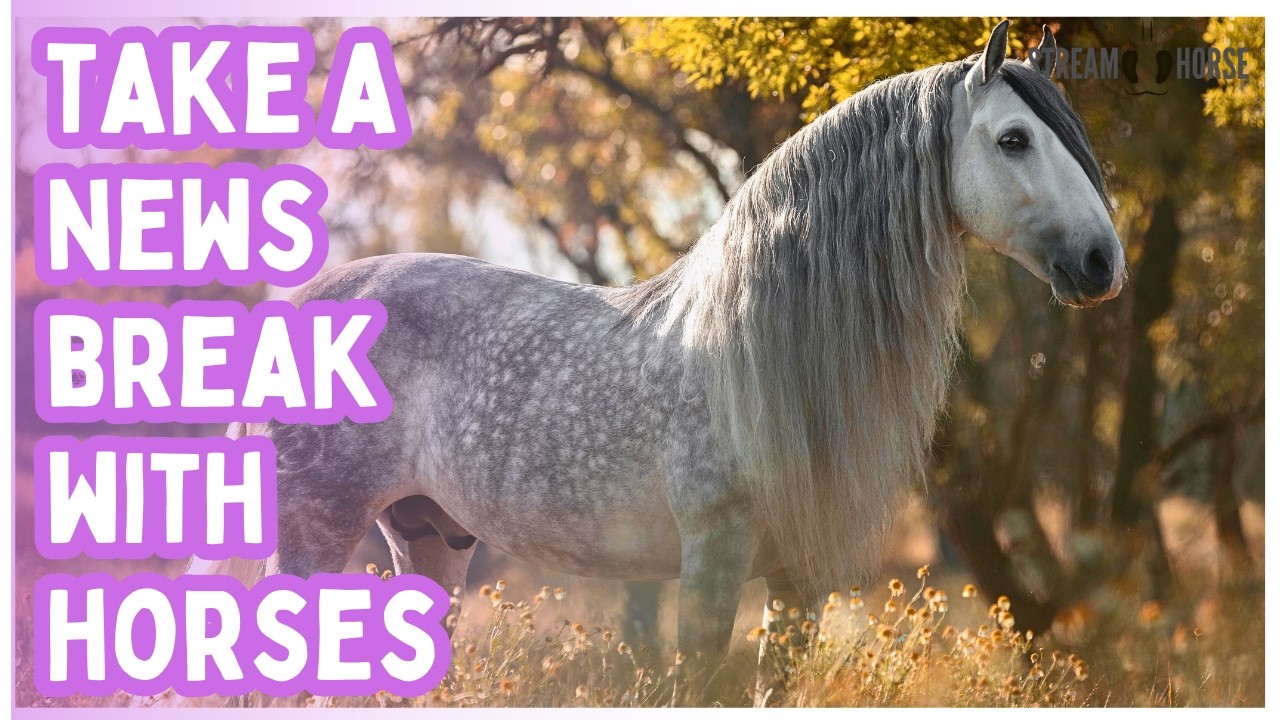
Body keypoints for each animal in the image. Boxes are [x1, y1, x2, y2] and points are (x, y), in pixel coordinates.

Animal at [195, 20, 1123, 703]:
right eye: (1013, 139)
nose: (1102, 263)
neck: (759, 353)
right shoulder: (711, 561)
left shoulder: (800, 580)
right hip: (313, 540)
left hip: (428, 537)